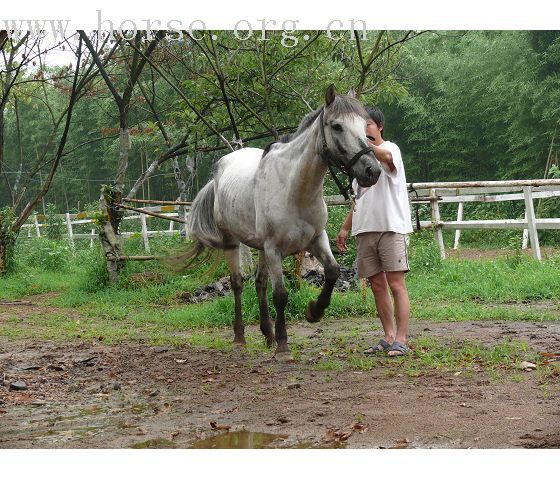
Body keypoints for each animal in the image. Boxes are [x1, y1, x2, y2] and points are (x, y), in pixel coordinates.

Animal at [174, 84, 380, 358]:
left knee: (260, 284)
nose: (372, 171)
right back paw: (240, 337)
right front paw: (283, 346)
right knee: (238, 284)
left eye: (364, 125)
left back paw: (267, 334)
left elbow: (333, 272)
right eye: (336, 126)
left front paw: (314, 312)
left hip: (260, 246)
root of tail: (220, 167)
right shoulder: (274, 249)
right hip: (233, 243)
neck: (295, 189)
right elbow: (281, 295)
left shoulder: (316, 239)